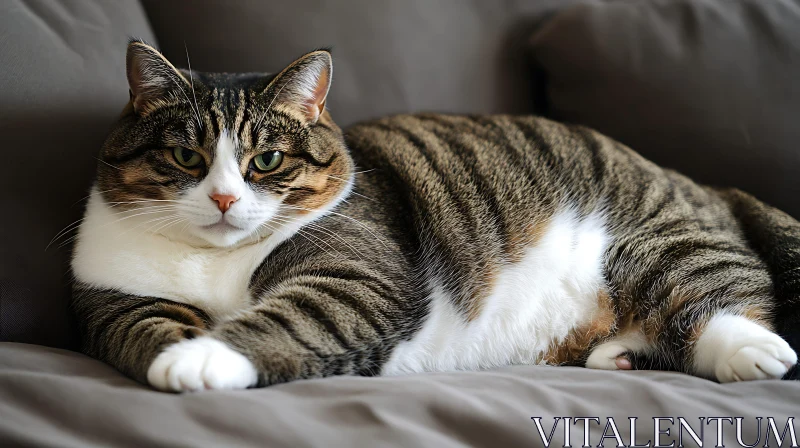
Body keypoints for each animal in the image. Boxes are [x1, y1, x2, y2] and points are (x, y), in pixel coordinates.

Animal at [70, 41, 800, 392]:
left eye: (267, 159)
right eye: (186, 155)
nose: (223, 200)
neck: (215, 259)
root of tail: (703, 184)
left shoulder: (358, 278)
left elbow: (290, 316)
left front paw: (201, 359)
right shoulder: (116, 302)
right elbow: (147, 332)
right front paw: (178, 350)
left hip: (655, 242)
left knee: (721, 298)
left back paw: (754, 354)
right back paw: (618, 354)